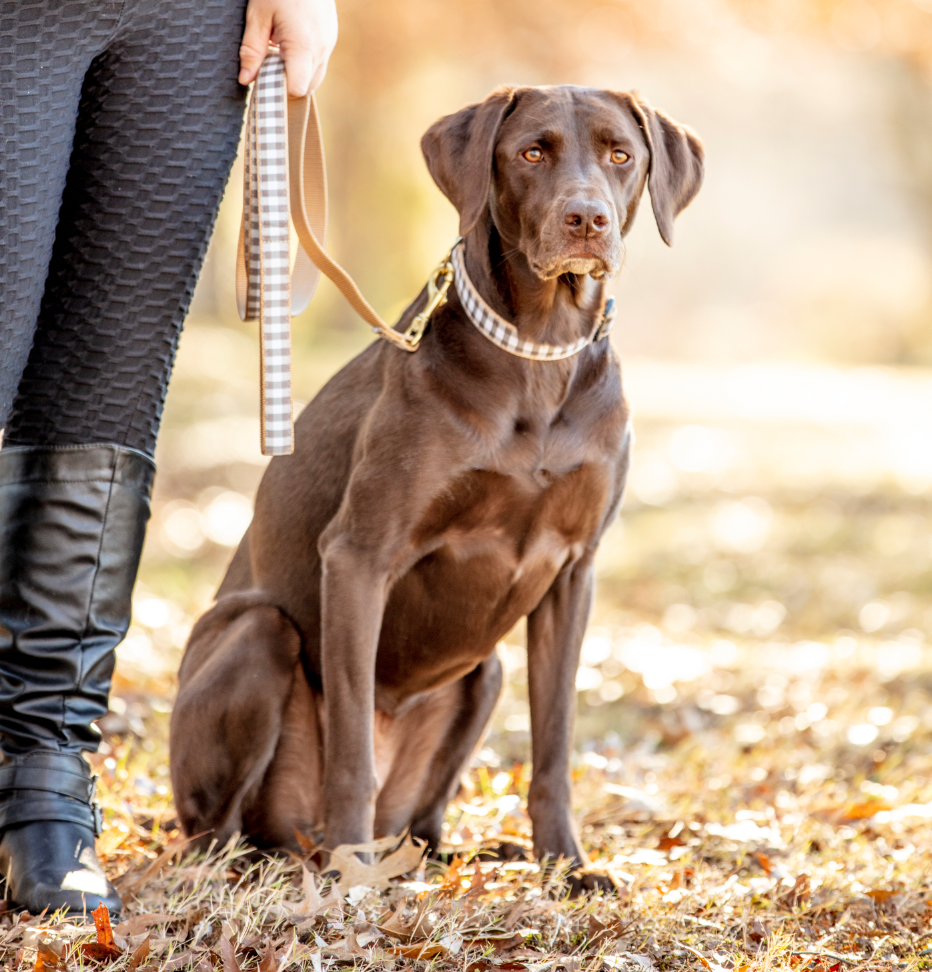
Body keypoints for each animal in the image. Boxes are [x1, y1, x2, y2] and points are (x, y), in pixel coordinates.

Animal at [171, 85, 704, 888]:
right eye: (532, 152)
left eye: (621, 154)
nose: (587, 219)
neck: (539, 350)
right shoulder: (358, 556)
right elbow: (352, 746)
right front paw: (351, 876)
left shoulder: (572, 574)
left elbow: (553, 745)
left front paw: (566, 865)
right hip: (255, 634)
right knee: (222, 832)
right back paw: (301, 863)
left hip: (484, 672)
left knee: (422, 825)